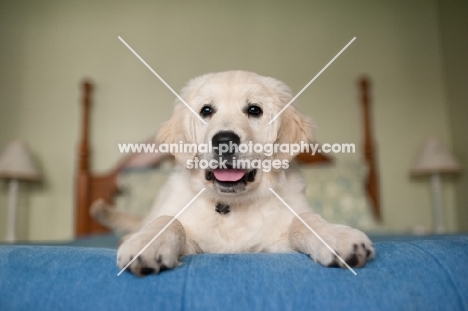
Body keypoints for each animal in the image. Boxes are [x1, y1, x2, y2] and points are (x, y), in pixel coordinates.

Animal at [93, 70, 374, 276]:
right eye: (206, 110)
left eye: (254, 110)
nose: (224, 140)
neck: (230, 205)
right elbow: (169, 221)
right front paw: (148, 242)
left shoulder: (276, 239)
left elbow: (303, 220)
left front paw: (336, 235)